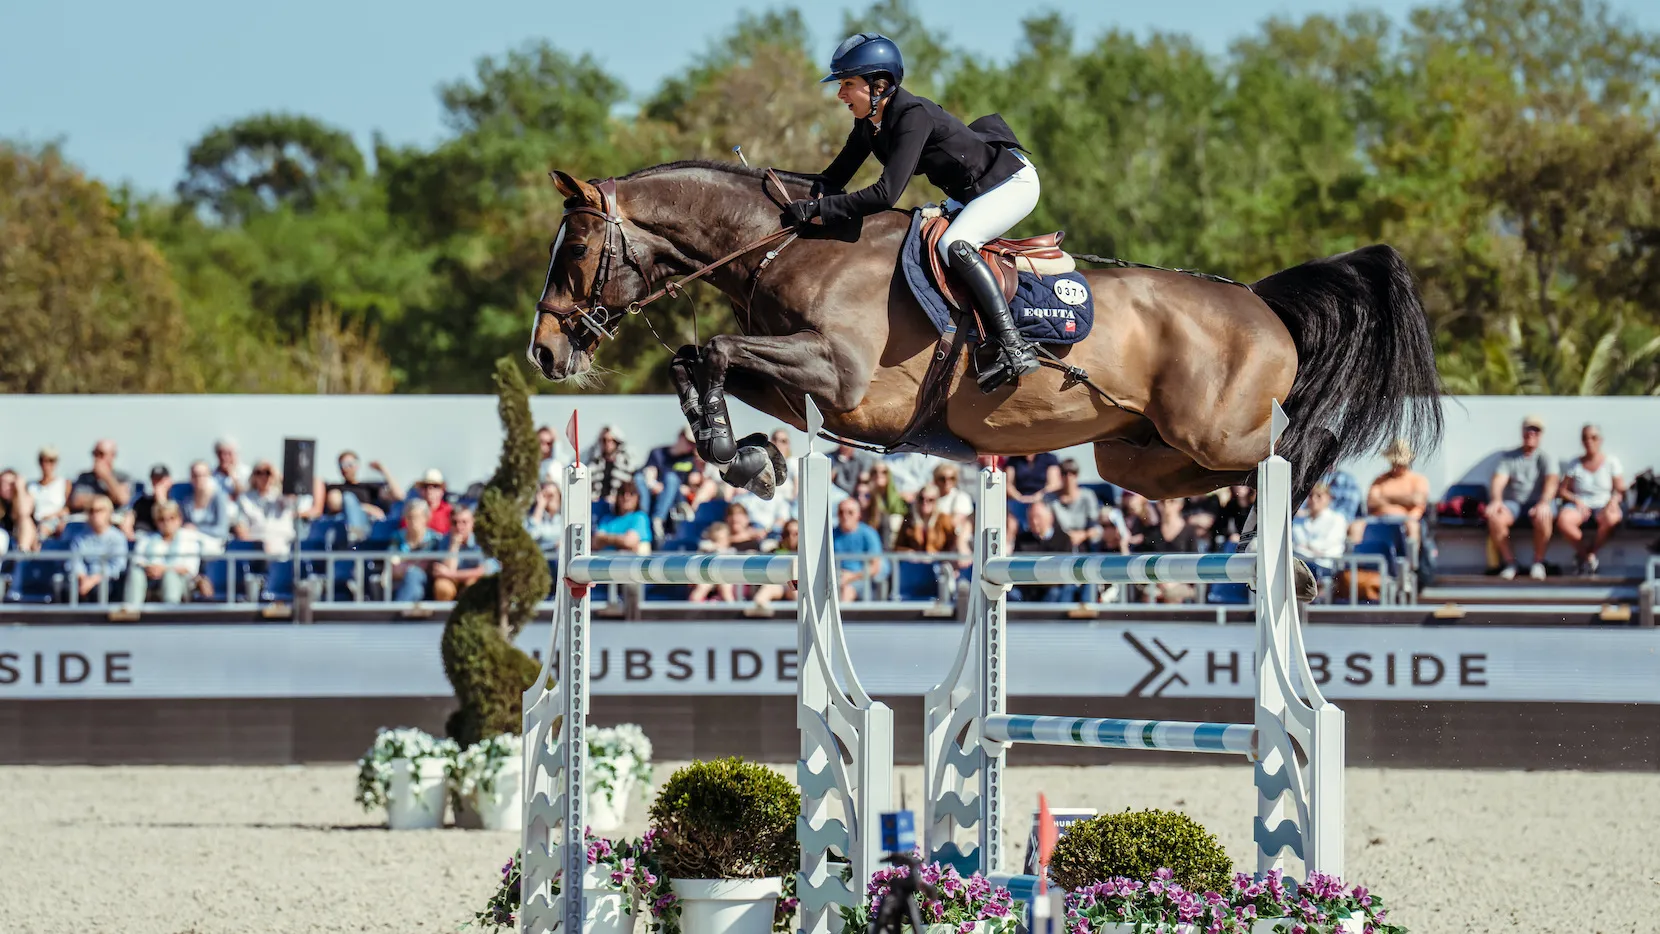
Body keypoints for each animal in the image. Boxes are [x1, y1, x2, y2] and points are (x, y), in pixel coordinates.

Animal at [528, 160, 1443, 534]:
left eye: (575, 251)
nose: (543, 354)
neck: (789, 246)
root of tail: (1261, 302)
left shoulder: (843, 377)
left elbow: (715, 349)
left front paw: (737, 454)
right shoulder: (806, 378)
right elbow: (699, 361)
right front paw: (747, 456)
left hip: (1214, 429)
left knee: (1306, 440)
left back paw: (1286, 539)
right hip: (1138, 454)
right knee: (1220, 474)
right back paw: (1251, 532)